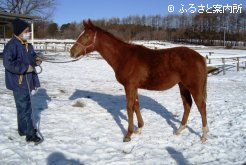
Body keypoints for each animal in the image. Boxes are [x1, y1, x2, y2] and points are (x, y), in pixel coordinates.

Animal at [70, 20, 209, 142]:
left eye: (86, 35)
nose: (72, 52)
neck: (124, 57)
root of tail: (201, 57)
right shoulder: (134, 86)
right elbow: (136, 105)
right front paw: (139, 128)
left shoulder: (129, 86)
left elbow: (129, 107)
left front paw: (128, 135)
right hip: (182, 86)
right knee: (187, 105)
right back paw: (179, 130)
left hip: (193, 87)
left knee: (201, 106)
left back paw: (204, 136)